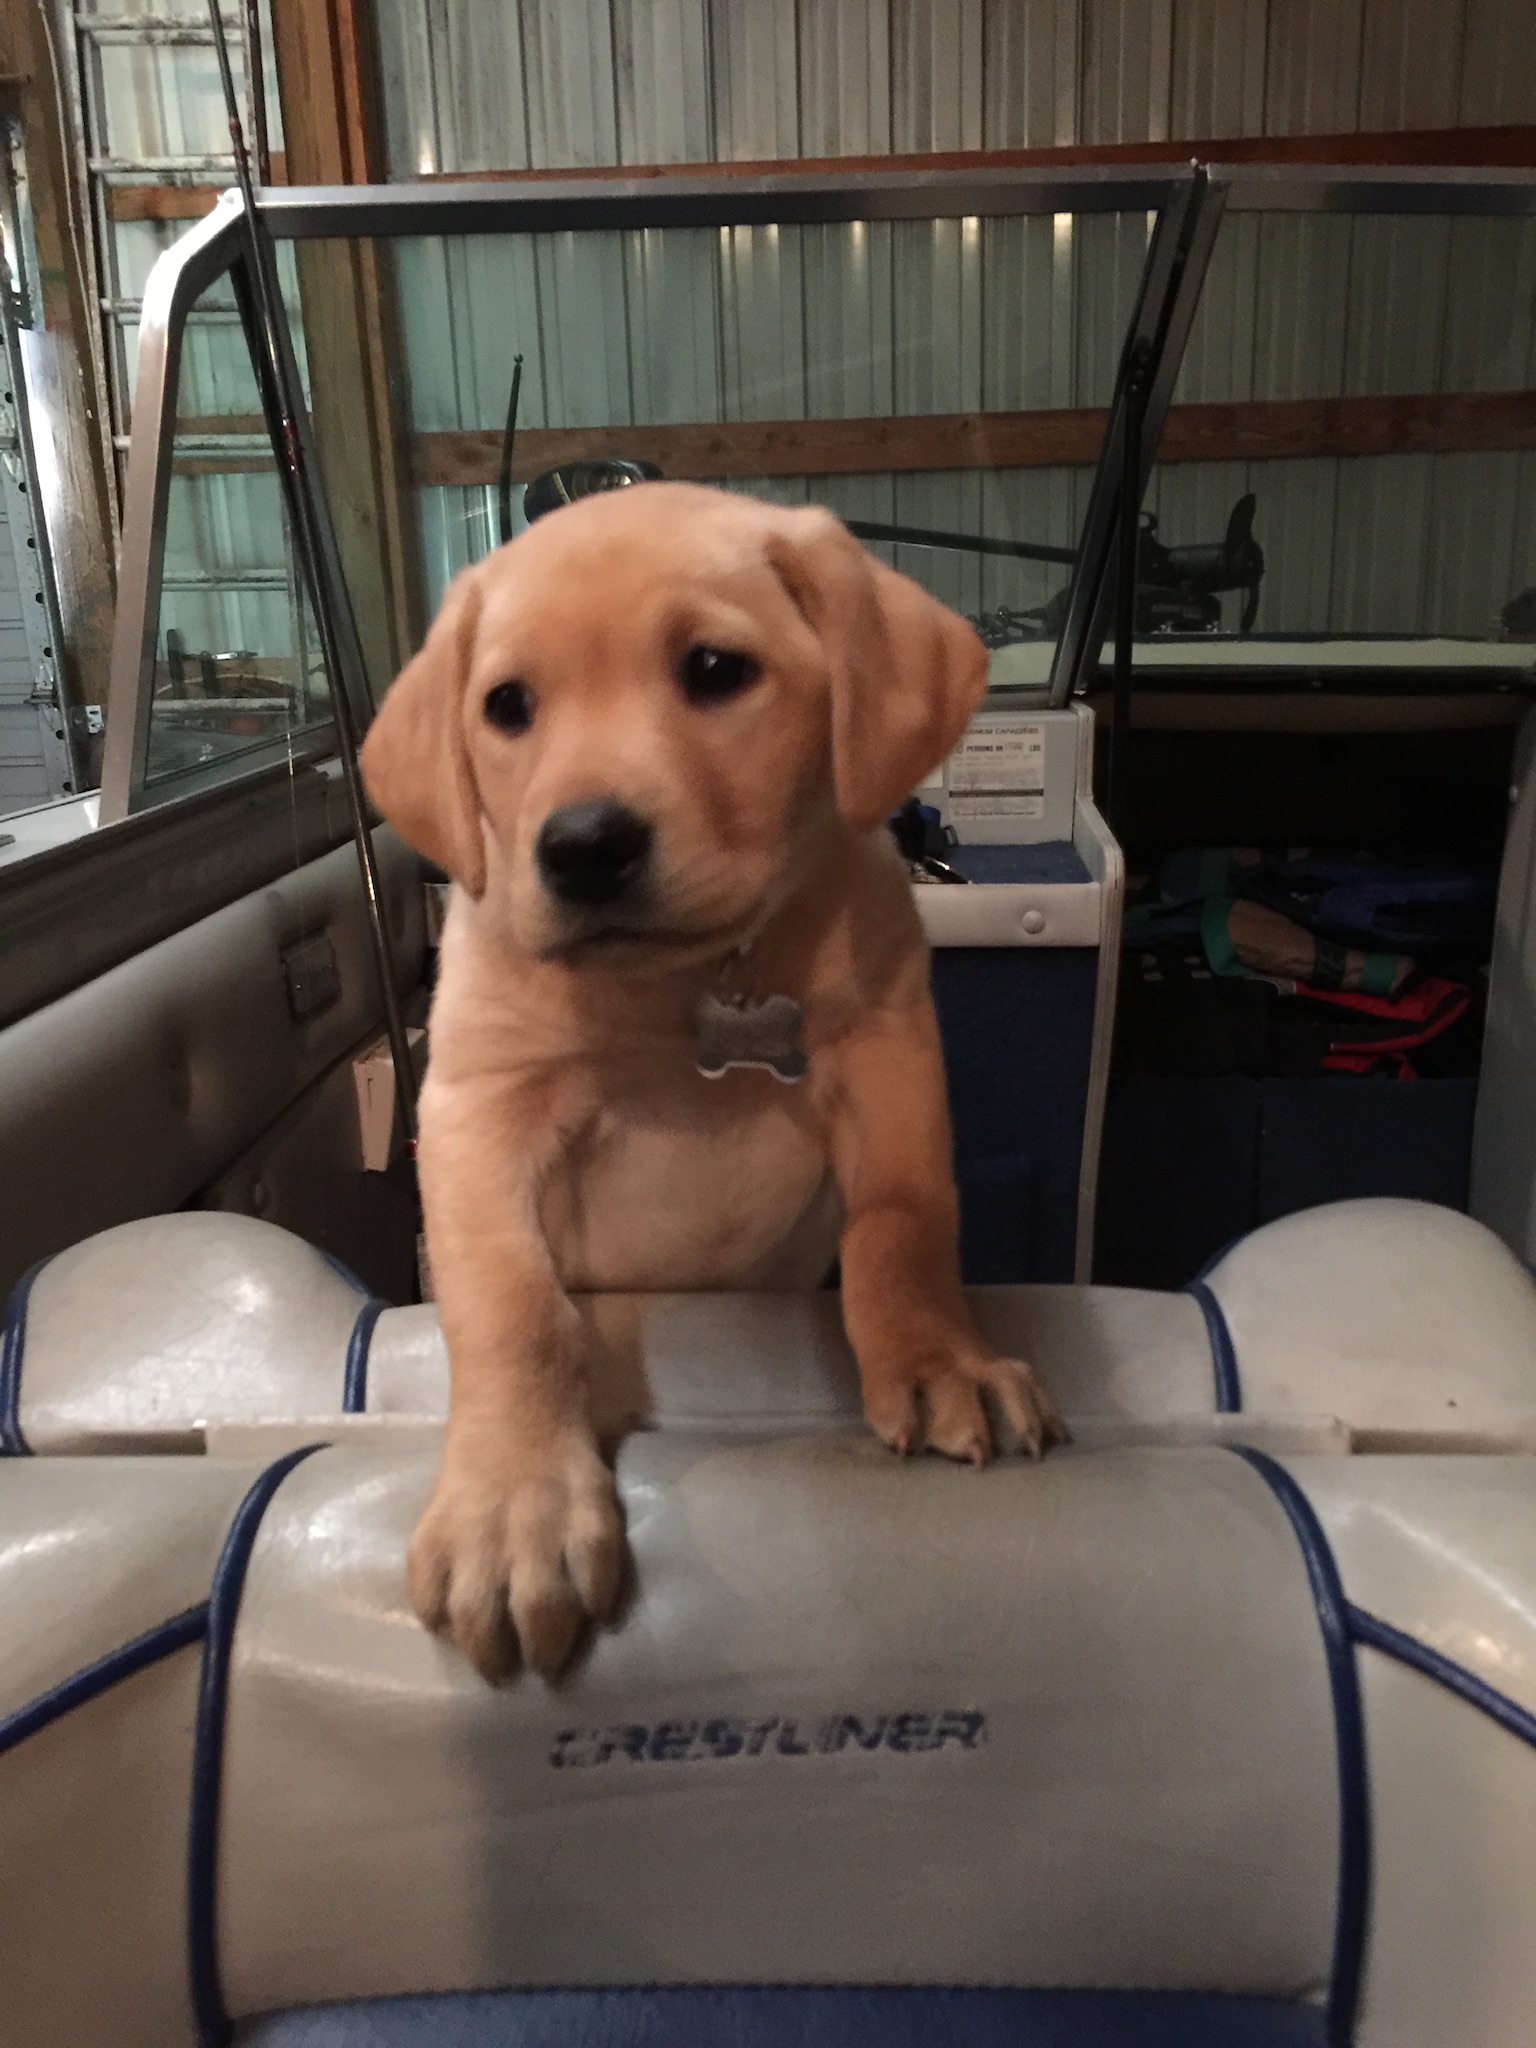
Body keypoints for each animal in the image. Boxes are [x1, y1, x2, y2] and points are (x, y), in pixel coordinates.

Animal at [364, 479, 1064, 1679]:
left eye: (715, 670)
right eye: (507, 705)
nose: (582, 846)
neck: (690, 979)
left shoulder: (887, 1052)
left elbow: (902, 1225)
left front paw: (941, 1357)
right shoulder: (475, 1110)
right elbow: (512, 1303)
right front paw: (513, 1506)